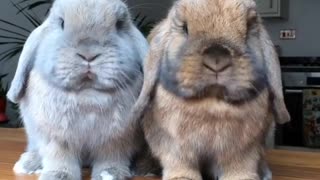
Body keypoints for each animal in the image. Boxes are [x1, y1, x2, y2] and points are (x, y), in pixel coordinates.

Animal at [132, 0, 290, 179]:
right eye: (185, 28)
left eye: (249, 27)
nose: (217, 57)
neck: (212, 102)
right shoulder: (174, 145)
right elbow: (179, 162)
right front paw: (182, 177)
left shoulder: (244, 149)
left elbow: (240, 165)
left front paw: (241, 177)